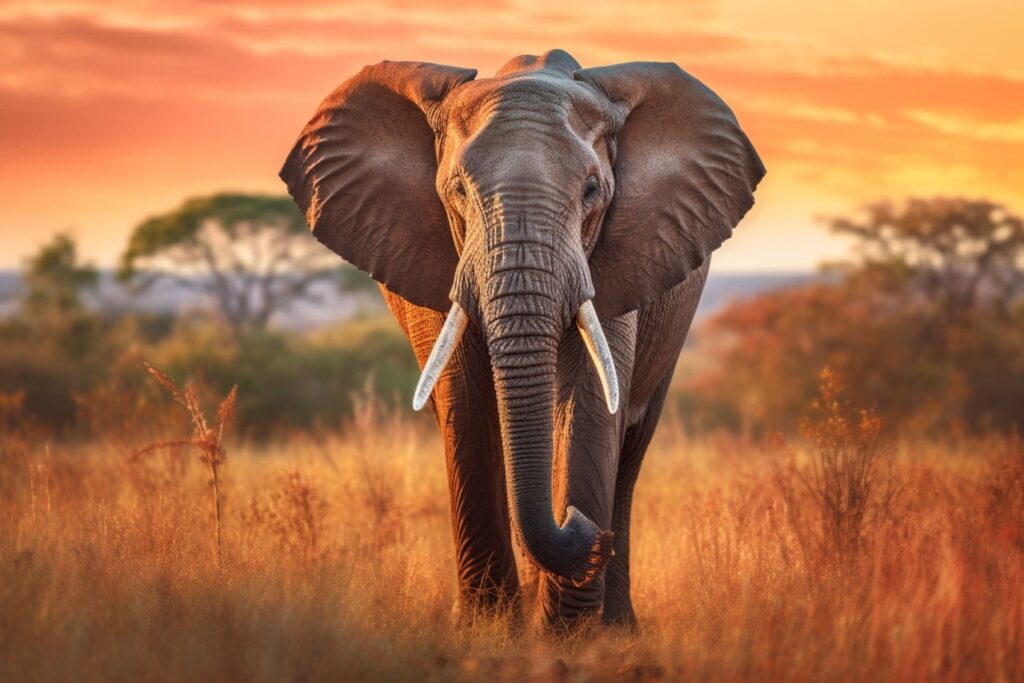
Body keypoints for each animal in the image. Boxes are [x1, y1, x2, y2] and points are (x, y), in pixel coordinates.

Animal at [280, 49, 764, 628]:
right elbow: (466, 403)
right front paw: (486, 628)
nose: (584, 529)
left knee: (631, 448)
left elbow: (590, 403)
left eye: (592, 191)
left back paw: (616, 626)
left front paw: (567, 635)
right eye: (457, 191)